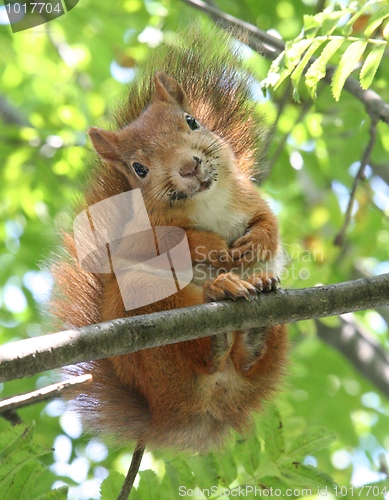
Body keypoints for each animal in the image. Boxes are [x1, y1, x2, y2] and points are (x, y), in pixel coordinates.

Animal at [51, 24, 286, 460]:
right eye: (139, 168)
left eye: (192, 121)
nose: (188, 165)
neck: (205, 201)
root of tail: (180, 416)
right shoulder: (143, 234)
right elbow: (169, 244)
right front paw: (209, 244)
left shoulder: (248, 198)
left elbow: (269, 223)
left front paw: (256, 244)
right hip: (153, 308)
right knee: (199, 354)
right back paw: (219, 303)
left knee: (247, 363)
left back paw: (255, 314)